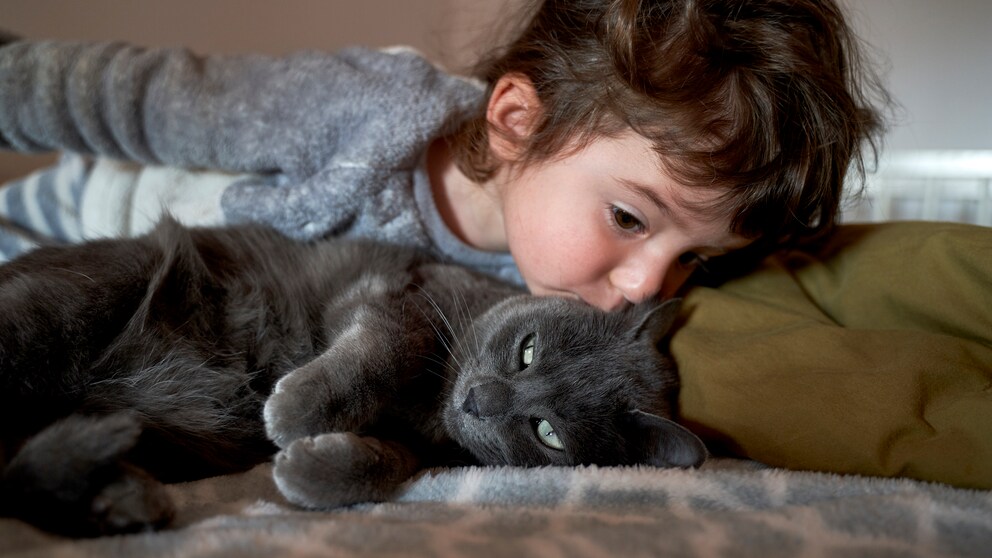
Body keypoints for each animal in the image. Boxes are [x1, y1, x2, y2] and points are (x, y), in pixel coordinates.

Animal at [0, 218, 704, 540]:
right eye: (528, 351)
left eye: (548, 432)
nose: (478, 400)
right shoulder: (398, 297)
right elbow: (379, 353)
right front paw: (298, 413)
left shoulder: (421, 443)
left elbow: (383, 465)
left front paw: (308, 469)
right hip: (69, 303)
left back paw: (119, 498)